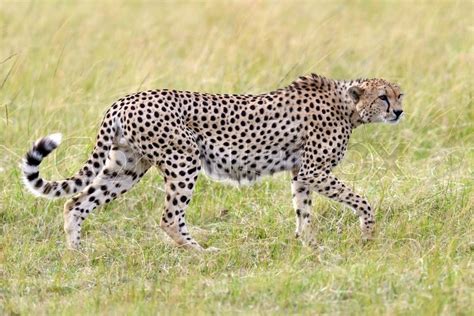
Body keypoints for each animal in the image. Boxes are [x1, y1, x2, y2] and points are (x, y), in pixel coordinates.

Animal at [19, 73, 404, 251]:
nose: (399, 112)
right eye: (383, 98)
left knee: (75, 202)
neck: (348, 106)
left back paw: (76, 252)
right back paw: (201, 252)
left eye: (399, 95)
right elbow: (362, 200)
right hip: (183, 159)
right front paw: (367, 234)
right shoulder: (314, 170)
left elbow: (303, 210)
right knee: (169, 217)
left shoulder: (301, 173)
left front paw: (308, 244)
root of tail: (124, 100)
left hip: (127, 167)